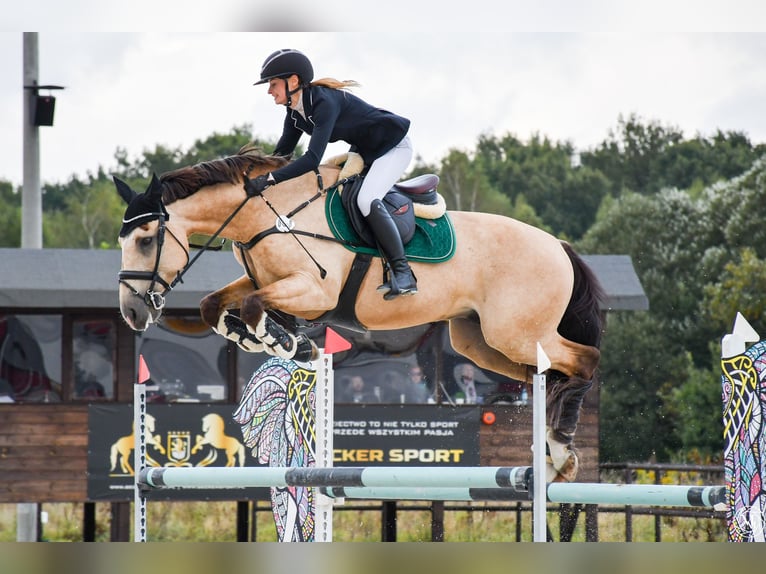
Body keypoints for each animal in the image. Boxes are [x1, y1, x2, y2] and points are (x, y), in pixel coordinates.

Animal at [115, 146, 608, 484]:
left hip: (516, 333)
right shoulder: (263, 282)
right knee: (548, 375)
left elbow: (255, 307)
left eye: (145, 239)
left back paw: (560, 452)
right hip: (481, 341)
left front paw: (289, 342)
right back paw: (557, 456)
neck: (267, 214)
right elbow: (213, 305)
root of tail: (558, 245)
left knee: (583, 361)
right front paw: (271, 338)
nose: (133, 312)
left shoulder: (315, 289)